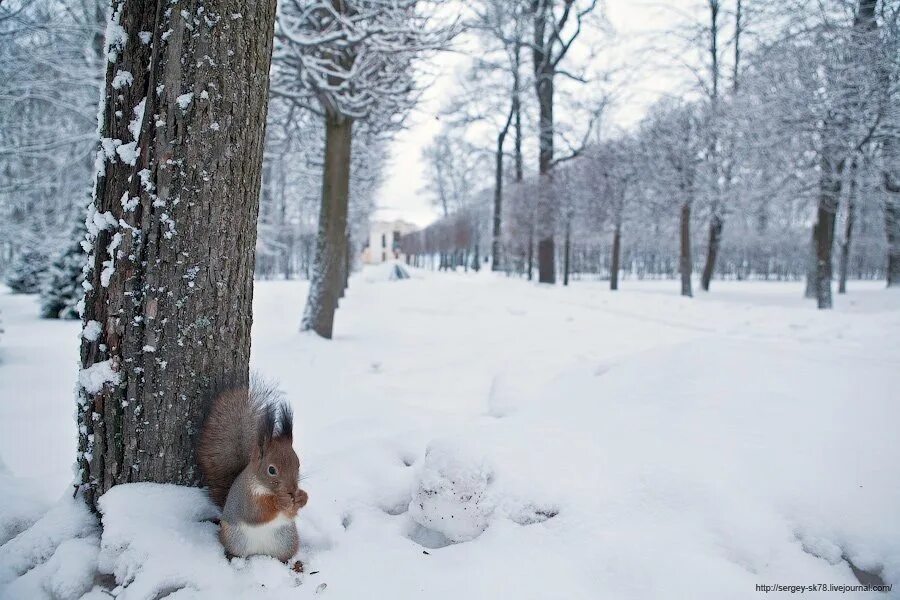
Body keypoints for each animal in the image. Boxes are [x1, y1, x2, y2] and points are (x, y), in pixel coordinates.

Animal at [197, 380, 310, 564]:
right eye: (271, 470)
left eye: (298, 464)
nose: (291, 490)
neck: (266, 490)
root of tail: (259, 553)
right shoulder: (246, 498)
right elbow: (256, 513)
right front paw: (280, 501)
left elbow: (290, 514)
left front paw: (302, 497)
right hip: (233, 538)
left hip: (287, 541)